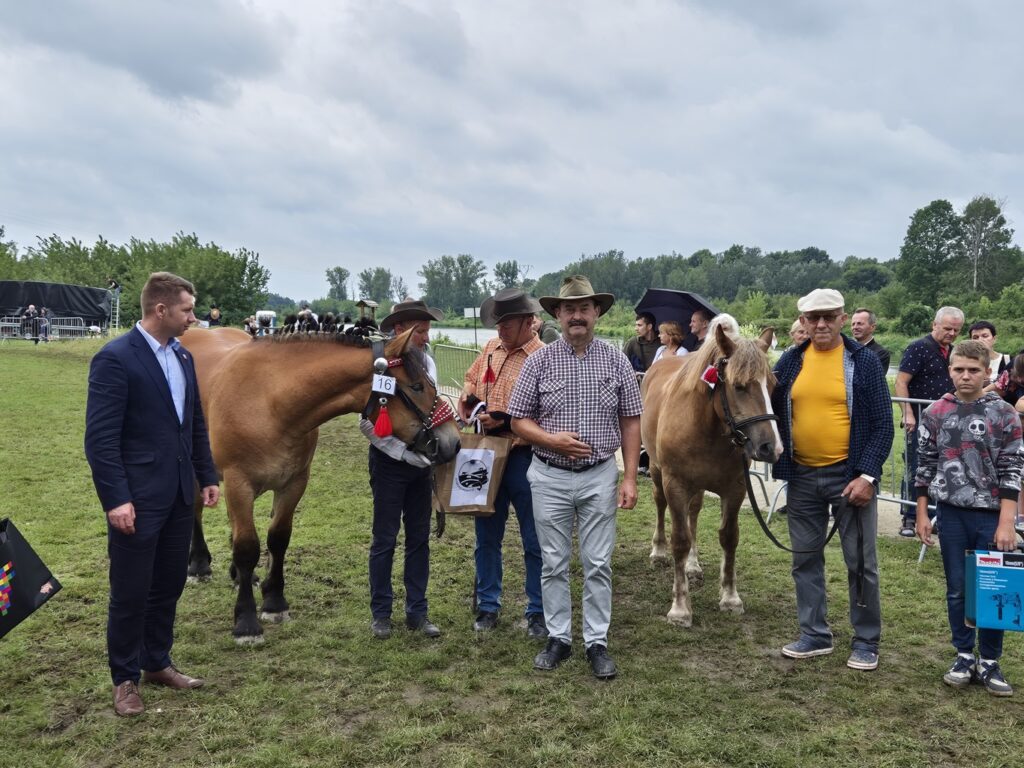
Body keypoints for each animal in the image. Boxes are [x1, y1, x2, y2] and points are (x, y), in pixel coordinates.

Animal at [180, 327, 460, 647]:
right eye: (416, 386)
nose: (453, 441)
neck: (269, 402)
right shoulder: (239, 485)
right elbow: (247, 547)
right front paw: (247, 622)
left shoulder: (294, 483)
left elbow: (278, 538)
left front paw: (274, 602)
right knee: (197, 511)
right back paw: (199, 565)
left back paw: (239, 575)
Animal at [638, 321, 782, 626]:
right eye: (739, 386)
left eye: (772, 385)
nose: (771, 448)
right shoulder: (675, 485)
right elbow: (680, 540)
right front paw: (680, 608)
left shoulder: (736, 488)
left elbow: (728, 536)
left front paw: (730, 597)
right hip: (656, 472)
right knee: (660, 505)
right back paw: (658, 552)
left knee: (693, 514)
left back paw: (692, 566)